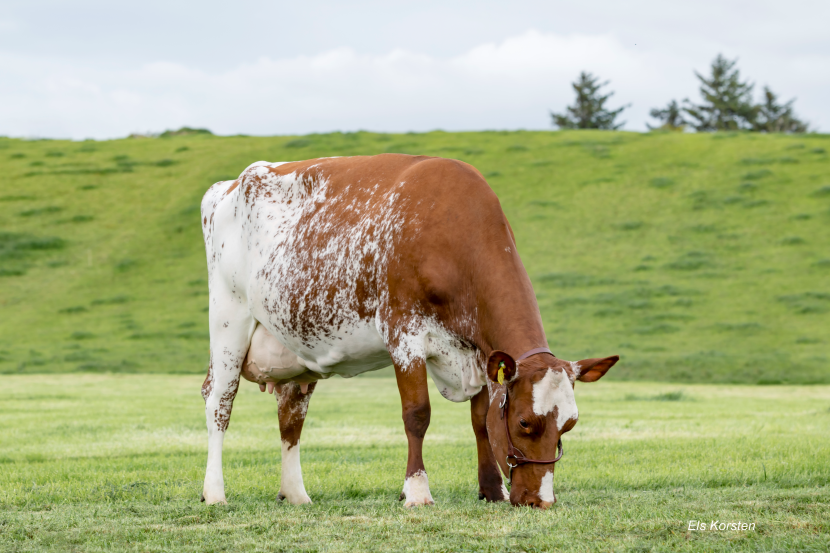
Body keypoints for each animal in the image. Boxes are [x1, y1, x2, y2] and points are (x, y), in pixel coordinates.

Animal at [200, 153, 616, 506]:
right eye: (524, 422)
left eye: (569, 424)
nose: (540, 501)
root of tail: (229, 185)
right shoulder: (403, 333)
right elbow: (417, 414)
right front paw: (416, 491)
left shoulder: (479, 352)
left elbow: (480, 420)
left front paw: (491, 489)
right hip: (228, 320)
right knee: (219, 402)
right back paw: (215, 492)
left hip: (294, 345)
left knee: (291, 416)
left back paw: (296, 494)